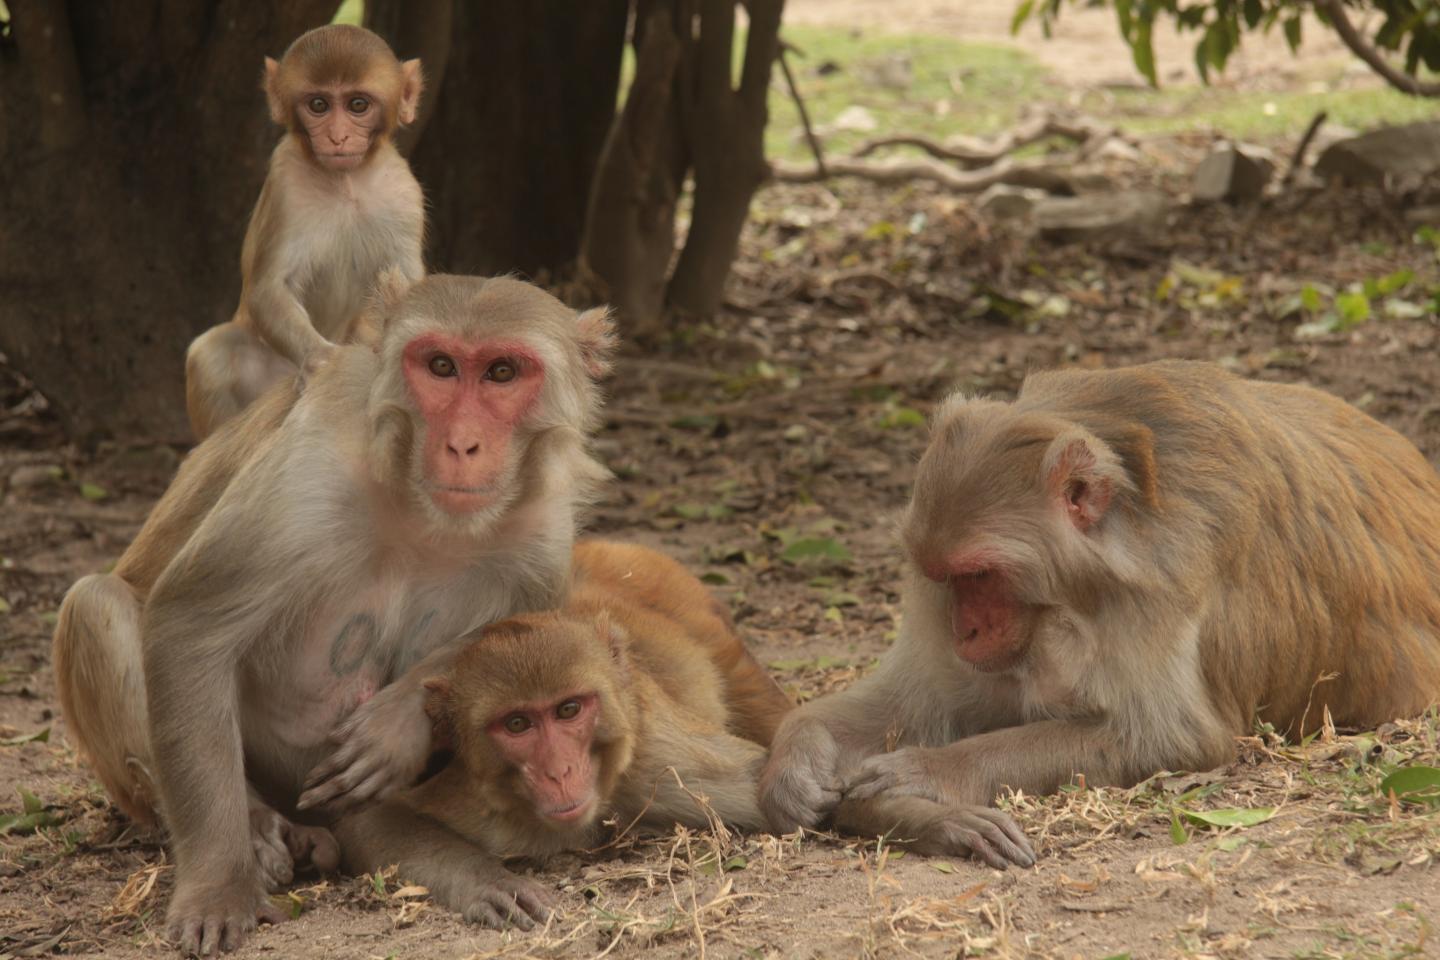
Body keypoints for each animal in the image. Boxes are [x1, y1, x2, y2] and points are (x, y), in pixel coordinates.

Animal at [52, 274, 616, 956]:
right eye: (441, 366)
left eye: (503, 372)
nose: (462, 443)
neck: (418, 505)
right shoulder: (313, 464)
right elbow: (192, 624)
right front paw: (217, 885)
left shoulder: (544, 521)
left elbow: (533, 642)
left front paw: (398, 723)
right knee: (97, 604)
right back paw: (258, 825)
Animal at [184, 24, 426, 441]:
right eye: (318, 105)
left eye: (357, 105)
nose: (338, 137)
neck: (347, 182)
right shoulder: (286, 184)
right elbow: (267, 289)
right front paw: (322, 360)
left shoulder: (403, 195)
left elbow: (409, 286)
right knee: (211, 354)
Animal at [330, 539, 803, 927]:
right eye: (517, 724)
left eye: (568, 710)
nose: (559, 772)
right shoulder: (472, 794)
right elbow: (369, 819)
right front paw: (487, 882)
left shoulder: (657, 763)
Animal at [760, 360, 1440, 839]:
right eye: (947, 578)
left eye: (982, 575)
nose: (965, 633)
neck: (1072, 601)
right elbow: (913, 702)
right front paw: (796, 756)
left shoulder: (1167, 591)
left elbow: (1172, 739)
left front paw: (929, 772)